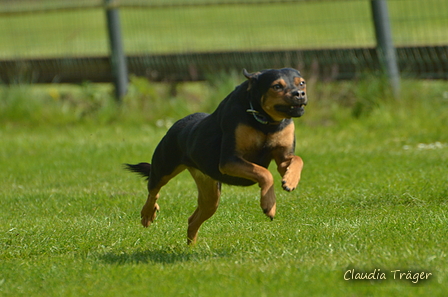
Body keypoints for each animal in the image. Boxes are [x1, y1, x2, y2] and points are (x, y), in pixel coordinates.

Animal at [126, 68, 308, 244]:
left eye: (302, 83)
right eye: (277, 86)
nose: (299, 94)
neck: (266, 122)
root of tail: (175, 125)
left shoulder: (283, 157)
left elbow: (297, 160)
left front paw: (290, 181)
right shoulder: (230, 161)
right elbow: (265, 173)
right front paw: (269, 205)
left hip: (210, 191)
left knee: (193, 219)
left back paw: (192, 248)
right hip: (164, 166)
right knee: (153, 190)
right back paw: (148, 214)